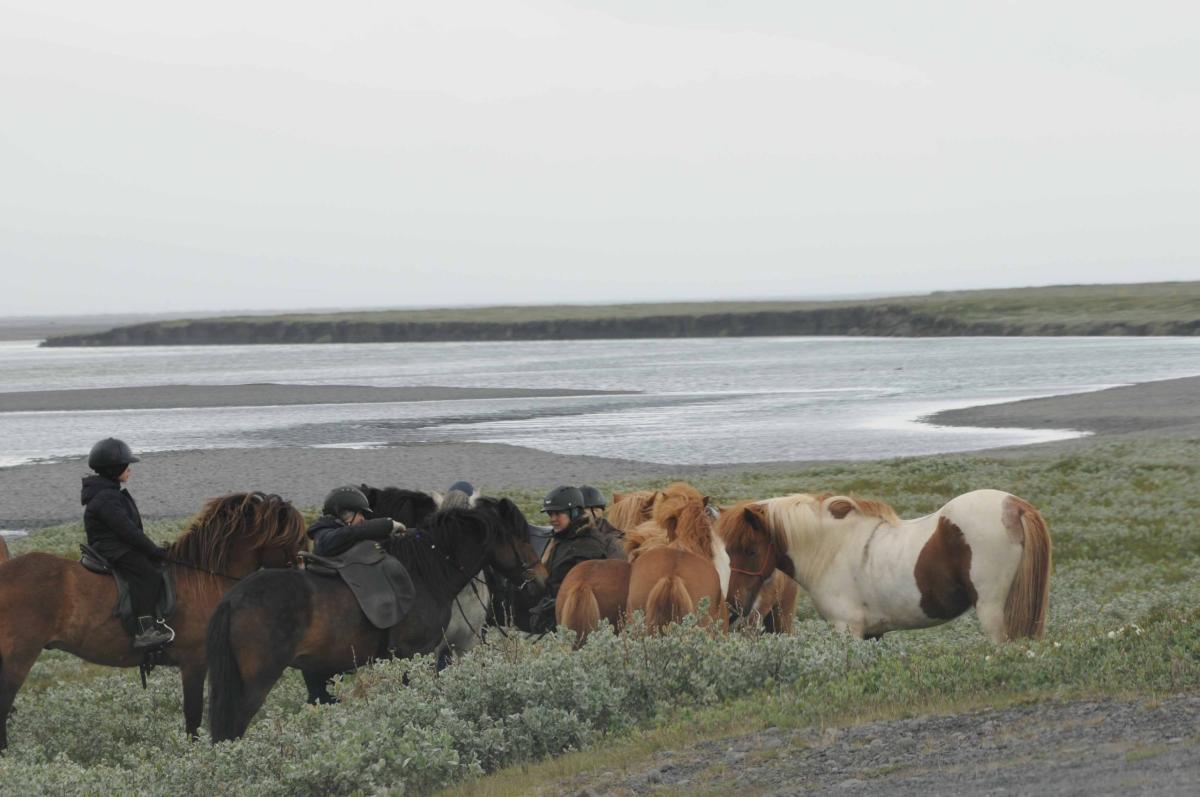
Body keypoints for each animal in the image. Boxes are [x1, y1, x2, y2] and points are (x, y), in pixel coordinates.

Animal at [0, 492, 307, 750]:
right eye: (297, 538)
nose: (303, 575)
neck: (202, 577)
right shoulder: (194, 662)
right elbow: (193, 715)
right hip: (19, 657)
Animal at [206, 498, 547, 741]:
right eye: (520, 537)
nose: (541, 580)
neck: (425, 572)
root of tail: (233, 599)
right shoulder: (415, 655)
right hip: (255, 683)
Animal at [720, 491, 1051, 642]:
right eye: (727, 551)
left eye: (751, 550)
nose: (734, 606)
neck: (830, 548)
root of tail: (1014, 506)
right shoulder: (872, 633)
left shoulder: (847, 629)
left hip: (993, 610)